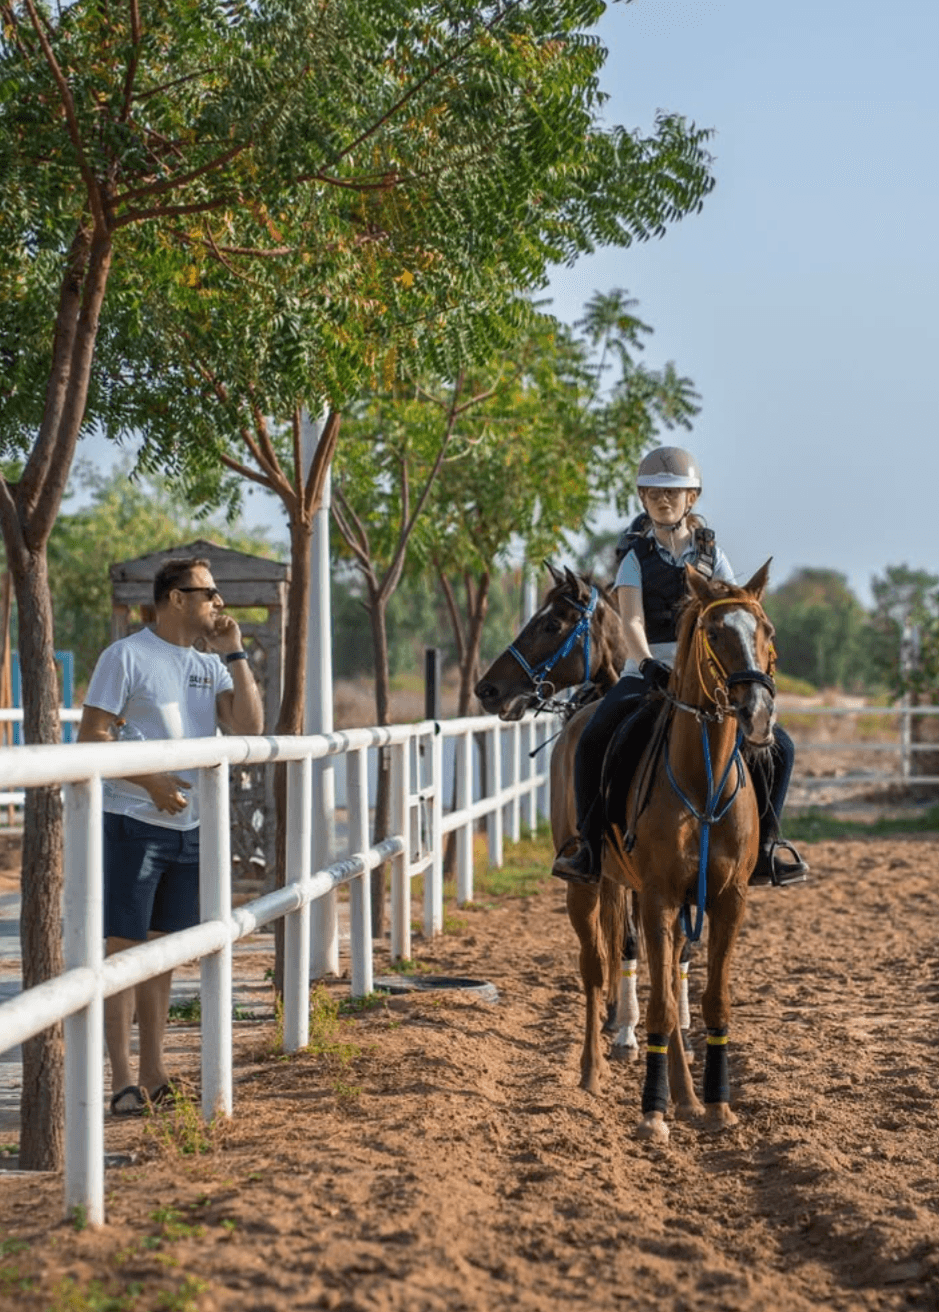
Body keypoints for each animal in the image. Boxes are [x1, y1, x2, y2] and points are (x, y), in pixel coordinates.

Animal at [577, 560, 776, 1143]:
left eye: (766, 631)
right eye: (714, 632)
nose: (757, 714)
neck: (701, 780)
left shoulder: (727, 900)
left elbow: (710, 999)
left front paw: (716, 1105)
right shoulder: (659, 898)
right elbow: (662, 1007)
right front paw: (651, 1112)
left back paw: (686, 1097)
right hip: (586, 887)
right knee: (594, 969)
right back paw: (593, 1072)